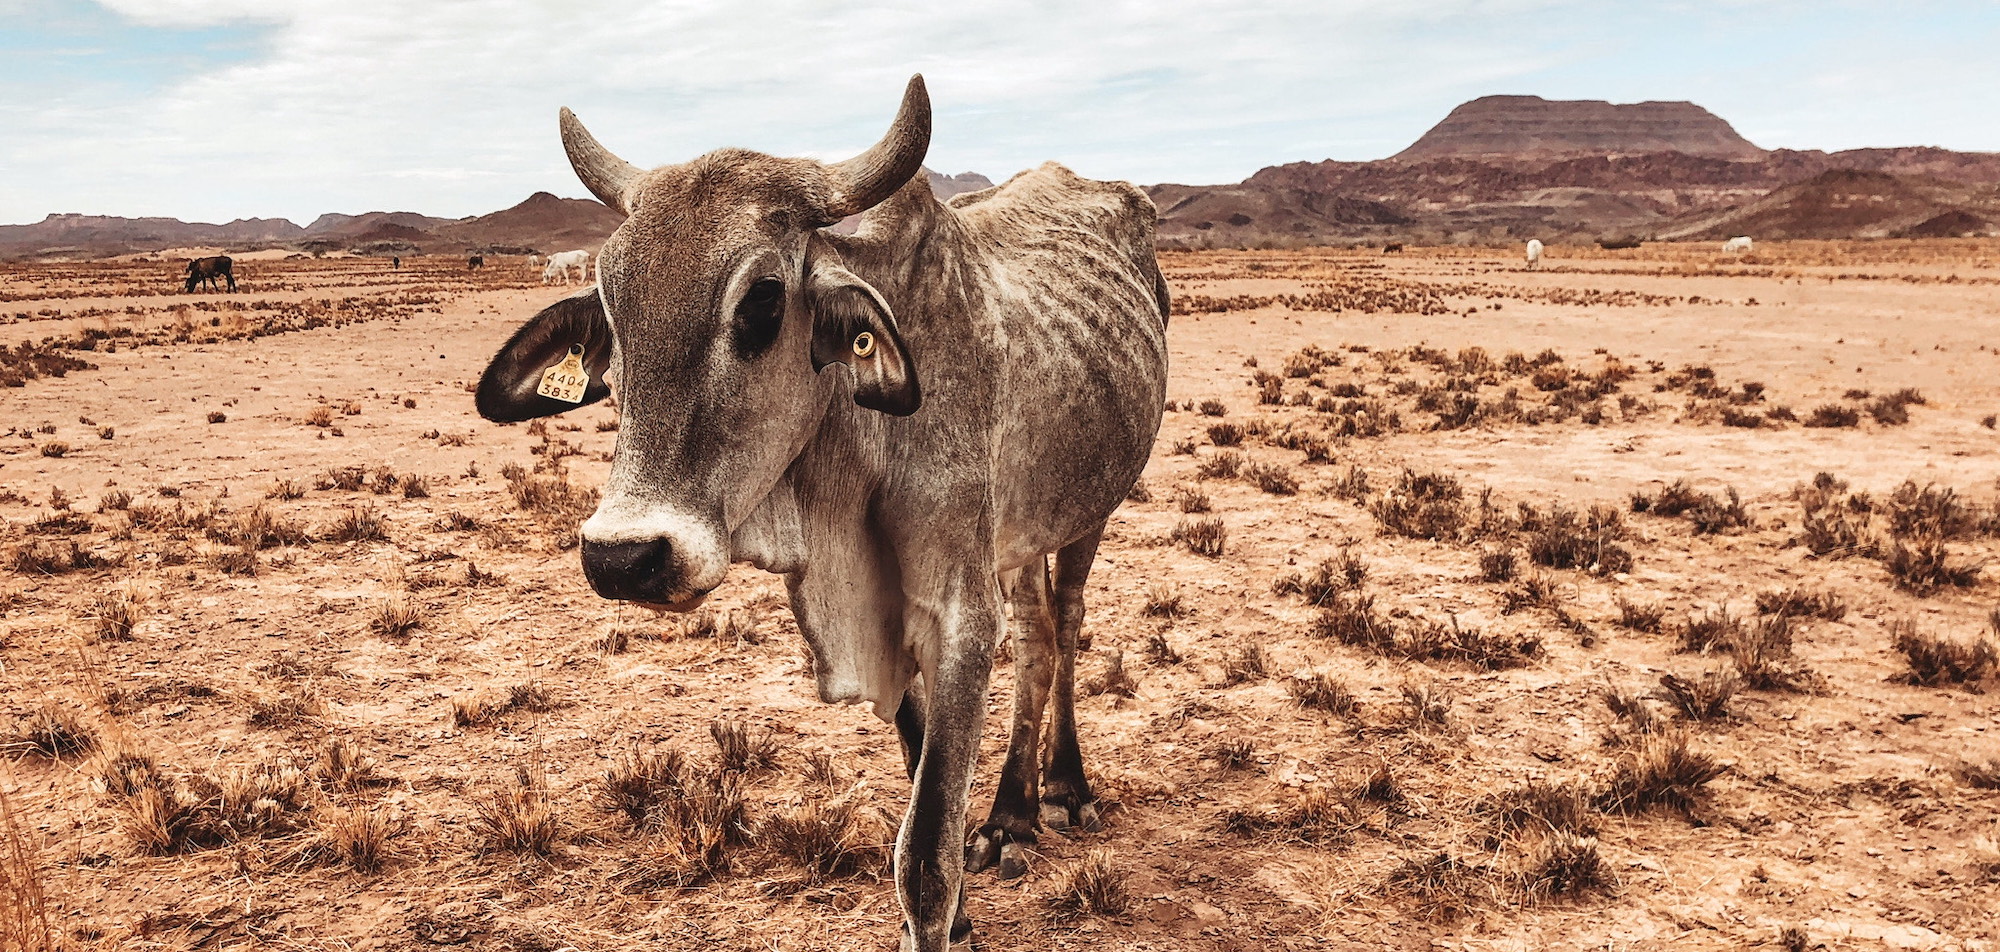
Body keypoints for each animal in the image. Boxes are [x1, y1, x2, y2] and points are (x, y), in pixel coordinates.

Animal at [474, 76, 1168, 952]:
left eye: (763, 302)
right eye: (611, 301)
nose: (623, 557)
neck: (859, 449)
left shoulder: (959, 614)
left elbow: (924, 853)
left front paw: (943, 912)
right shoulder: (896, 608)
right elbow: (918, 779)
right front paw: (965, 916)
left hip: (1090, 507)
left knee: (1067, 624)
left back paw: (1065, 787)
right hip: (1022, 534)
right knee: (1040, 634)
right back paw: (1010, 814)